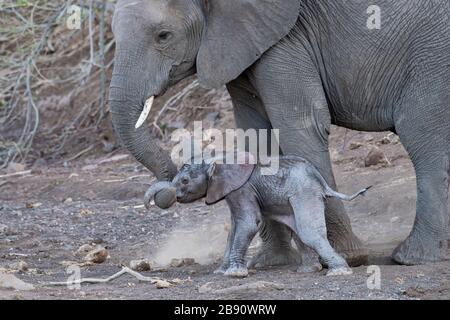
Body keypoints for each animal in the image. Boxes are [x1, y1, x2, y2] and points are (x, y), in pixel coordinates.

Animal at [110, 0, 450, 264]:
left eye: (163, 36)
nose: (167, 193)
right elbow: (255, 134)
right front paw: (272, 262)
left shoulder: (287, 39)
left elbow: (300, 126)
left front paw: (346, 256)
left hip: (432, 58)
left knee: (422, 136)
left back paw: (412, 257)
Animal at [146, 155, 370, 278]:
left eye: (184, 181)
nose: (149, 205)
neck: (215, 160)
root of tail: (319, 179)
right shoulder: (232, 192)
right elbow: (234, 228)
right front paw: (221, 271)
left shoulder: (242, 189)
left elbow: (249, 223)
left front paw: (235, 274)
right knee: (298, 230)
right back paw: (308, 270)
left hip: (304, 192)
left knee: (308, 232)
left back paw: (338, 272)